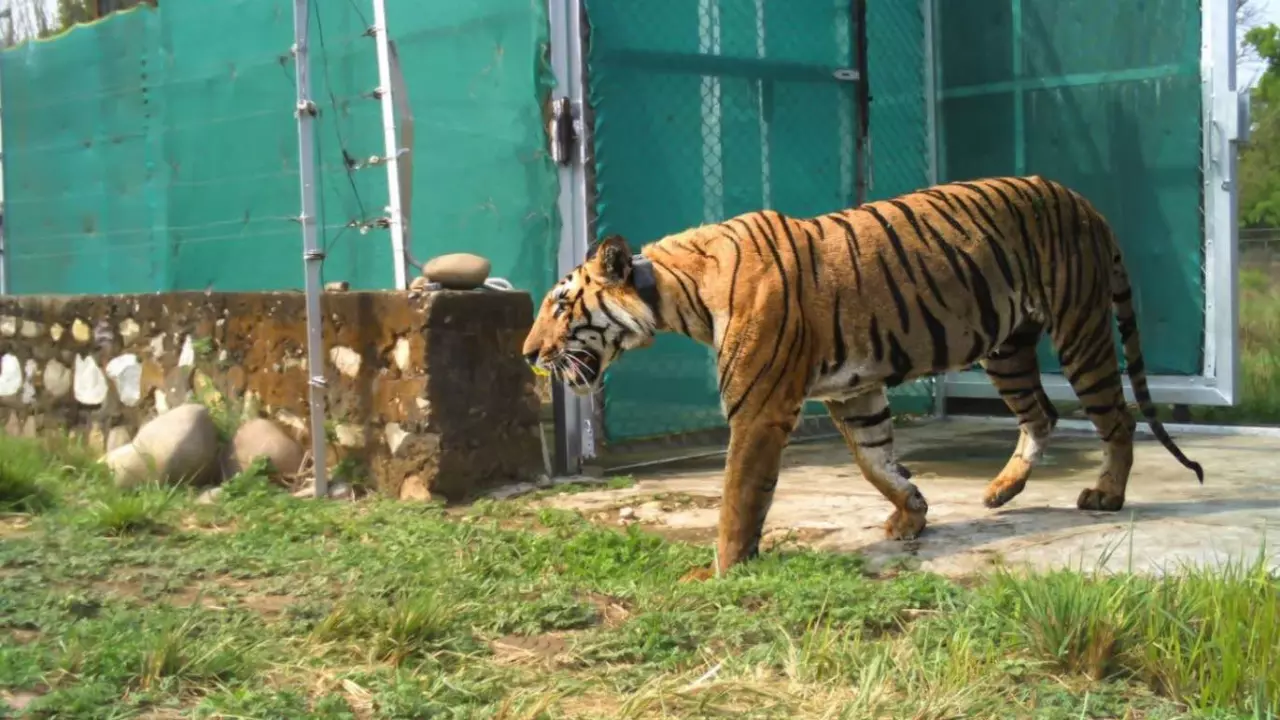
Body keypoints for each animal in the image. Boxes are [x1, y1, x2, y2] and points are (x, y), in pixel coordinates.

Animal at [522, 175, 1204, 577]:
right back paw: (1000, 491)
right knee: (1042, 413)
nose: (528, 353)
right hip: (1006, 347)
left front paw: (722, 570)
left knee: (1115, 418)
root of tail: (1083, 201)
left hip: (1080, 329)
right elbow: (876, 462)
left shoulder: (759, 410)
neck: (674, 292)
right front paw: (912, 514)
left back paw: (1106, 494)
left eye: (559, 305)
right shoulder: (855, 391)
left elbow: (739, 500)